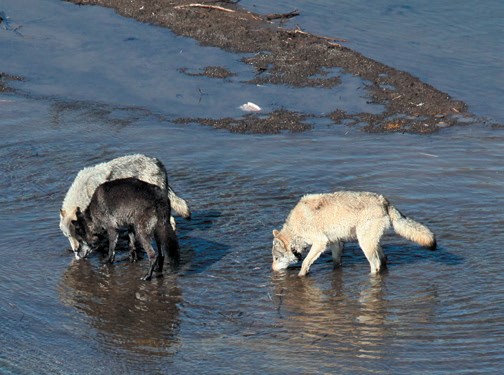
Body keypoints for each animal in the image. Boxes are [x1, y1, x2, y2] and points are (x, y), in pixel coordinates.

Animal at [60, 153, 190, 253]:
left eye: (78, 235)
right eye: (68, 236)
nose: (75, 250)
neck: (85, 191)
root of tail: (157, 162)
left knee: (171, 222)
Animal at [272, 191, 438, 276]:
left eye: (275, 258)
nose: (272, 270)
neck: (295, 230)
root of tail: (384, 201)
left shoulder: (320, 243)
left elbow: (305, 263)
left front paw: (301, 276)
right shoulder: (335, 243)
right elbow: (336, 262)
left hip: (364, 243)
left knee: (376, 264)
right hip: (372, 242)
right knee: (384, 259)